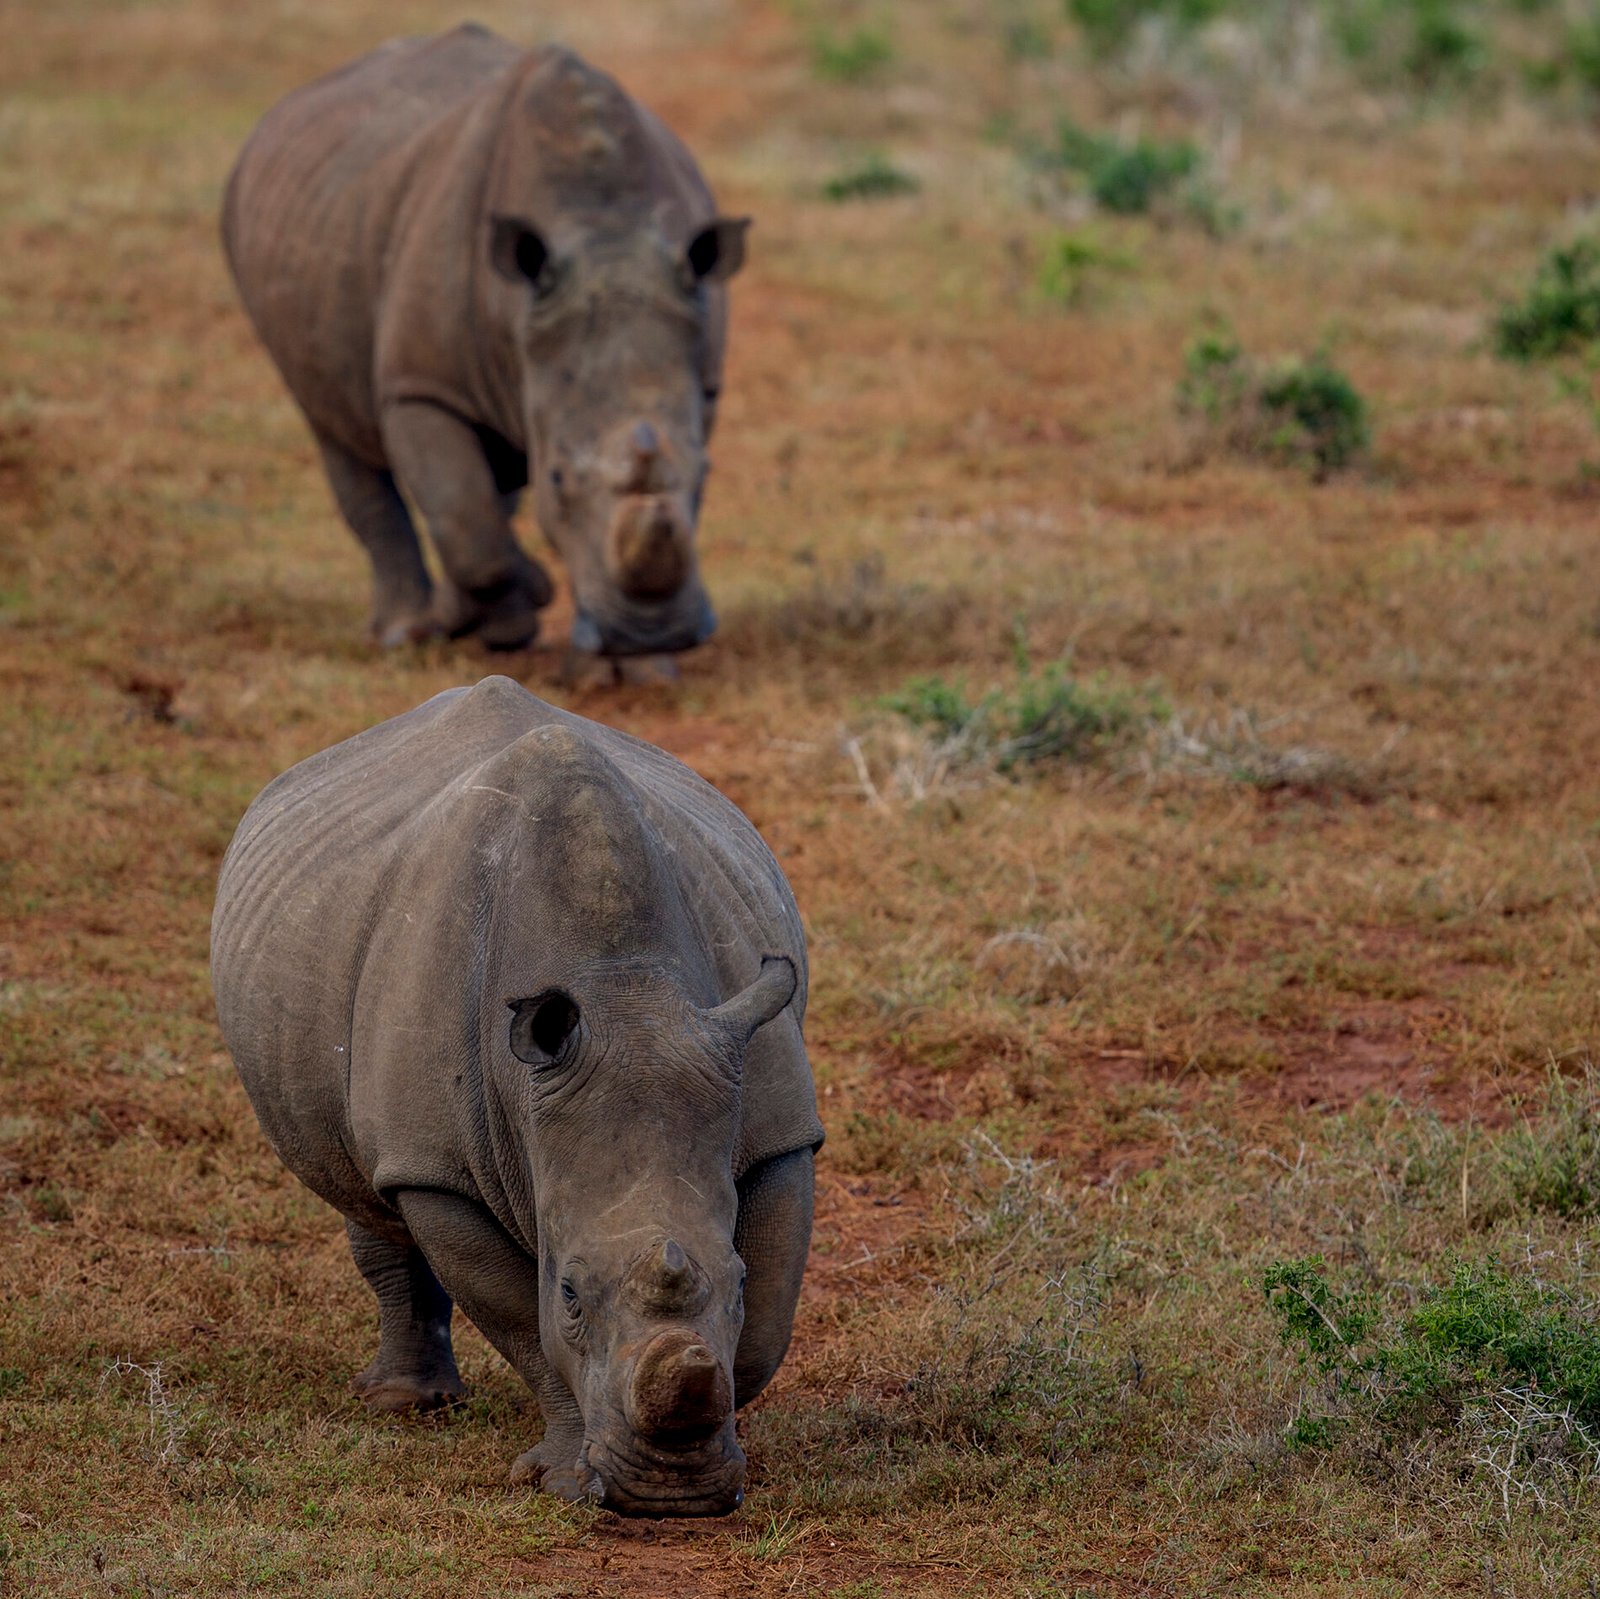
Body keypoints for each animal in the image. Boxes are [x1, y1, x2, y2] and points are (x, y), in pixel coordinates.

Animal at [222, 20, 745, 656]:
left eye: (708, 474)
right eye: (558, 479)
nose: (649, 635)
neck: (603, 235)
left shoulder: (700, 377)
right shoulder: (421, 384)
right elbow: (462, 515)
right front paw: (515, 605)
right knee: (338, 433)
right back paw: (406, 632)